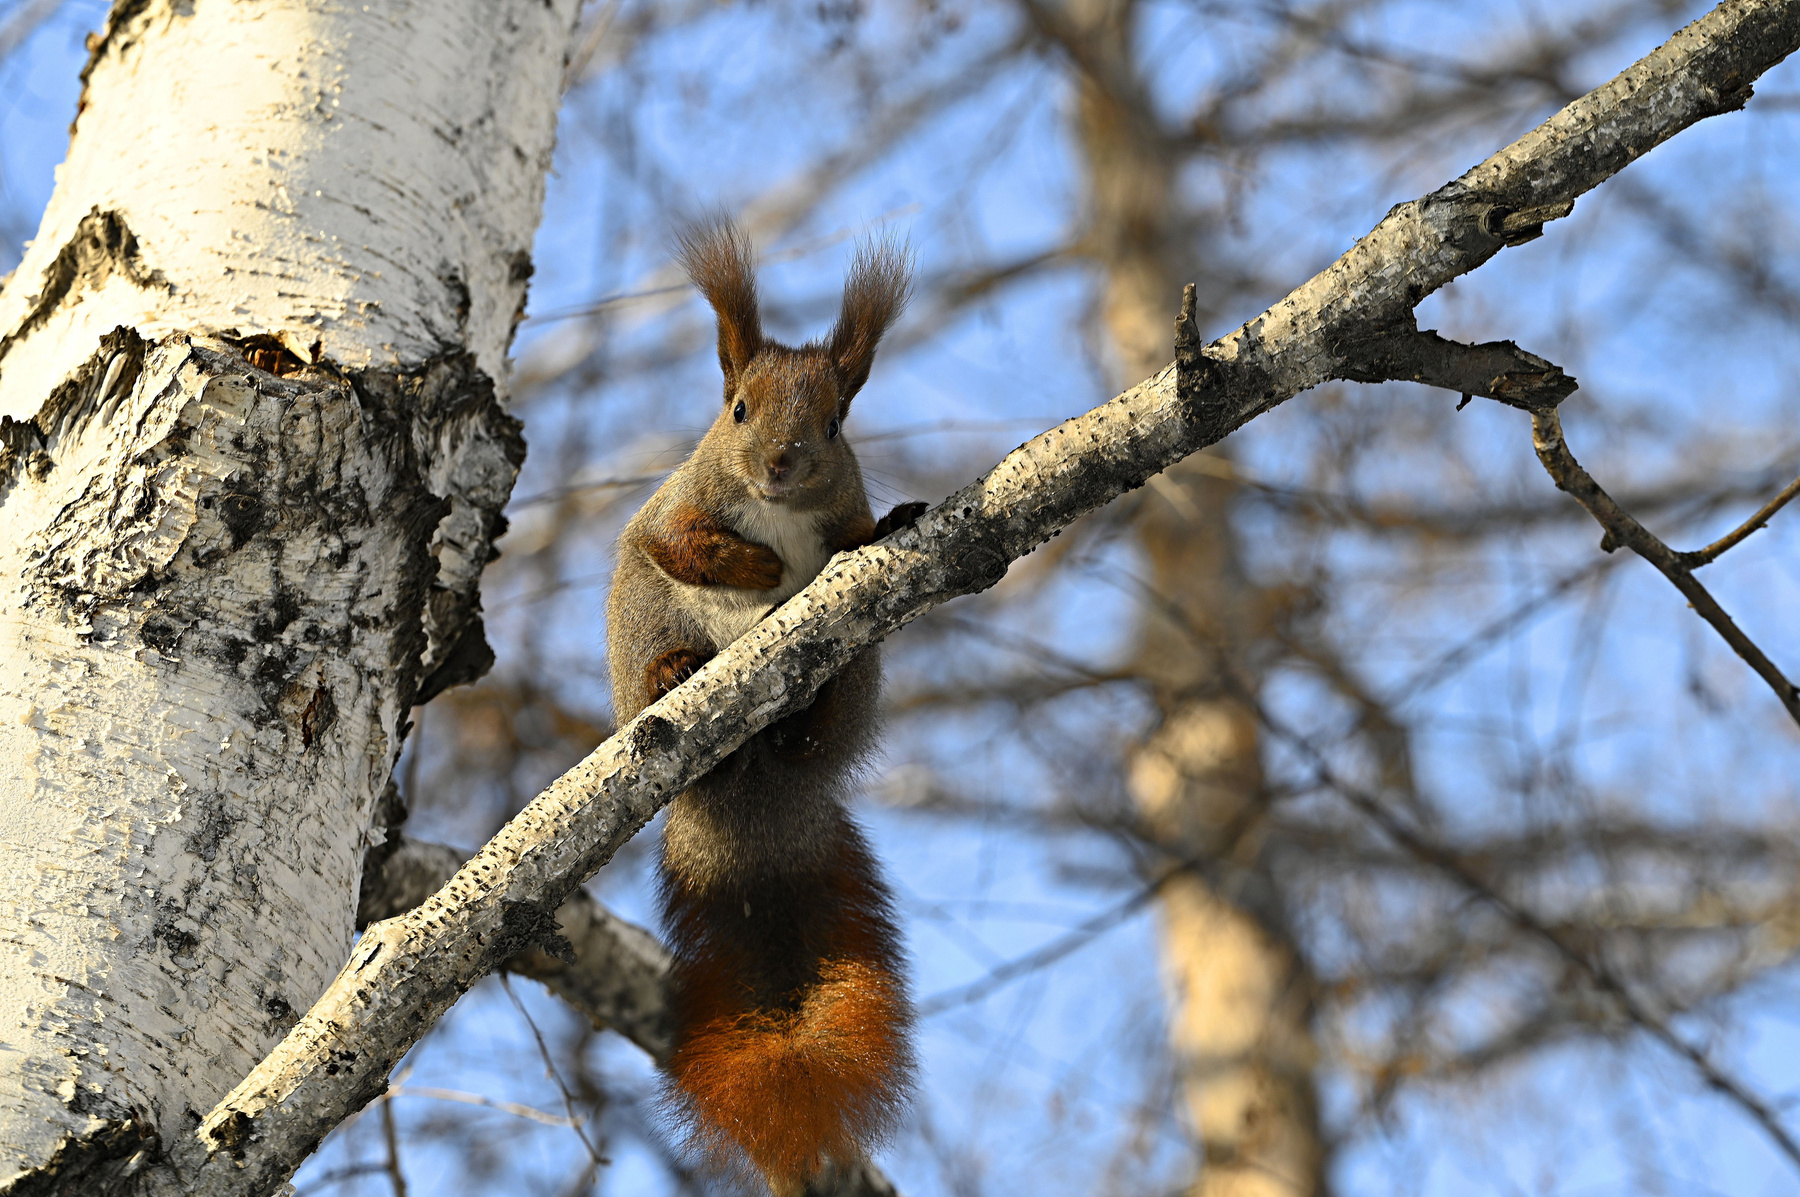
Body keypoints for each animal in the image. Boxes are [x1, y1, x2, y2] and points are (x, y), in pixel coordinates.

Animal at [606, 218, 926, 1196]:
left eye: (836, 422)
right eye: (739, 410)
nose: (783, 464)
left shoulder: (838, 517)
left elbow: (855, 534)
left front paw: (889, 523)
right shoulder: (676, 503)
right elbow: (678, 540)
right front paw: (752, 564)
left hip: (858, 672)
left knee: (819, 721)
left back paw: (800, 723)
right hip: (641, 616)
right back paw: (673, 673)